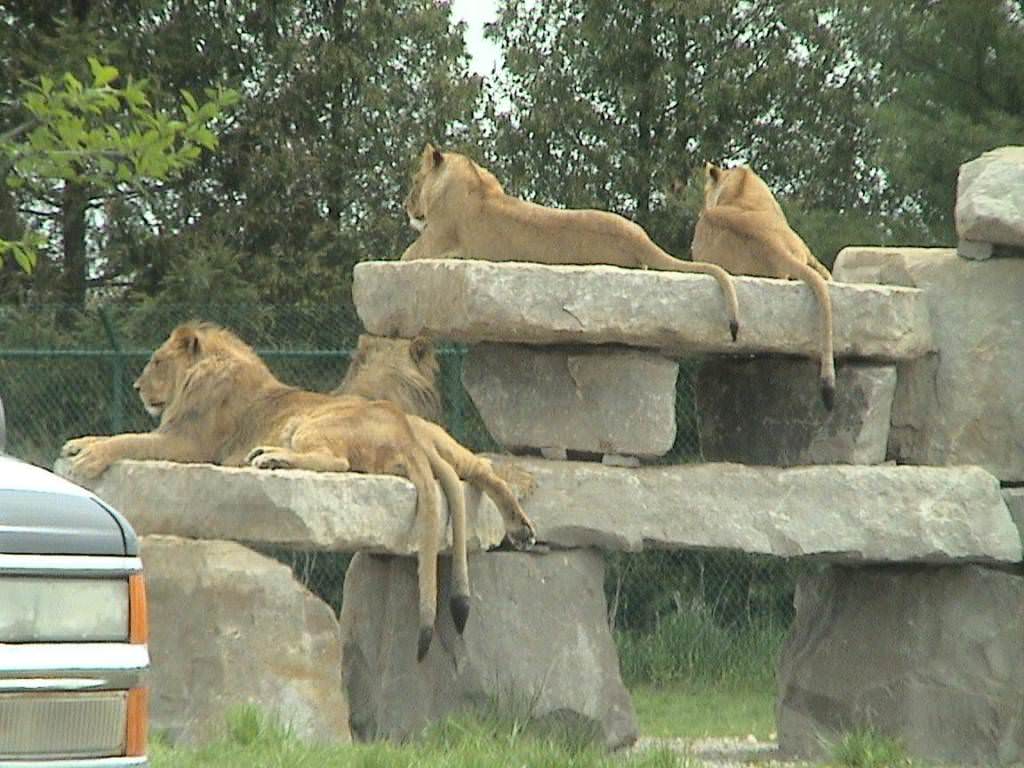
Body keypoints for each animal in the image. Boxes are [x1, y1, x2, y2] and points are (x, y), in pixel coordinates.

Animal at [58, 319, 536, 663]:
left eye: (157, 362)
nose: (137, 387)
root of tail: (402, 433)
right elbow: (116, 434)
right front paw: (80, 444)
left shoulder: (188, 444)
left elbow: (128, 439)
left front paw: (89, 459)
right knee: (477, 468)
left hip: (314, 423)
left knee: (340, 462)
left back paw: (270, 458)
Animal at [395, 144, 741, 342]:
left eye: (415, 180)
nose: (405, 205)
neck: (469, 179)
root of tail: (637, 234)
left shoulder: (433, 243)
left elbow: (404, 256)